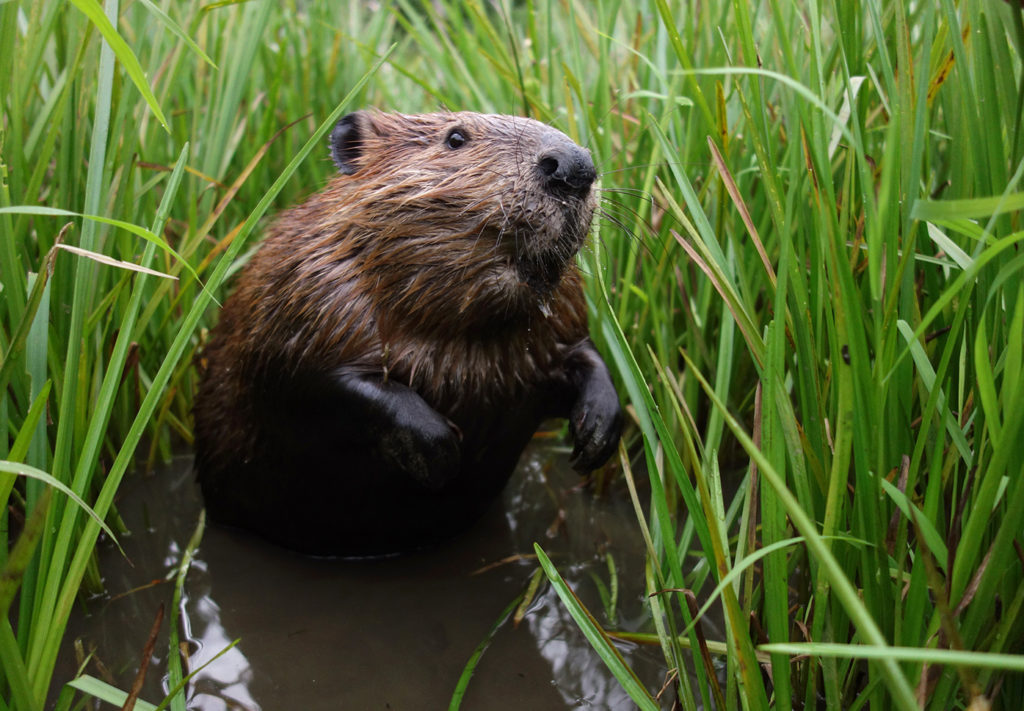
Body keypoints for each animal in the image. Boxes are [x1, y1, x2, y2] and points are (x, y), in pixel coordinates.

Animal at [193, 111, 622, 557]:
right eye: (455, 138)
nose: (574, 166)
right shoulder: (311, 295)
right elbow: (312, 382)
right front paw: (441, 452)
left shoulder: (561, 315)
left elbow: (580, 355)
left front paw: (596, 433)